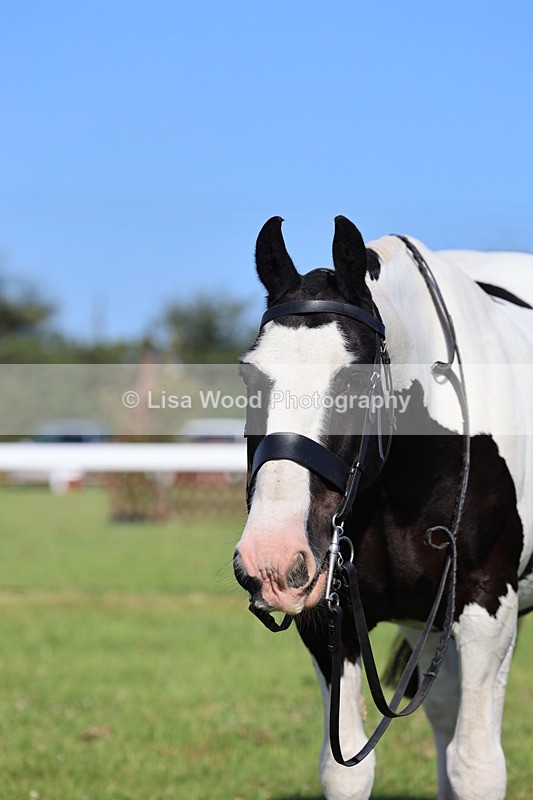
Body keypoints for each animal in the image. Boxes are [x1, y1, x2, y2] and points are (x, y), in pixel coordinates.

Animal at [233, 215, 533, 800]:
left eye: (354, 378)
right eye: (248, 375)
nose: (271, 558)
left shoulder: (488, 608)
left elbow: (477, 765)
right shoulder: (331, 622)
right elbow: (346, 768)